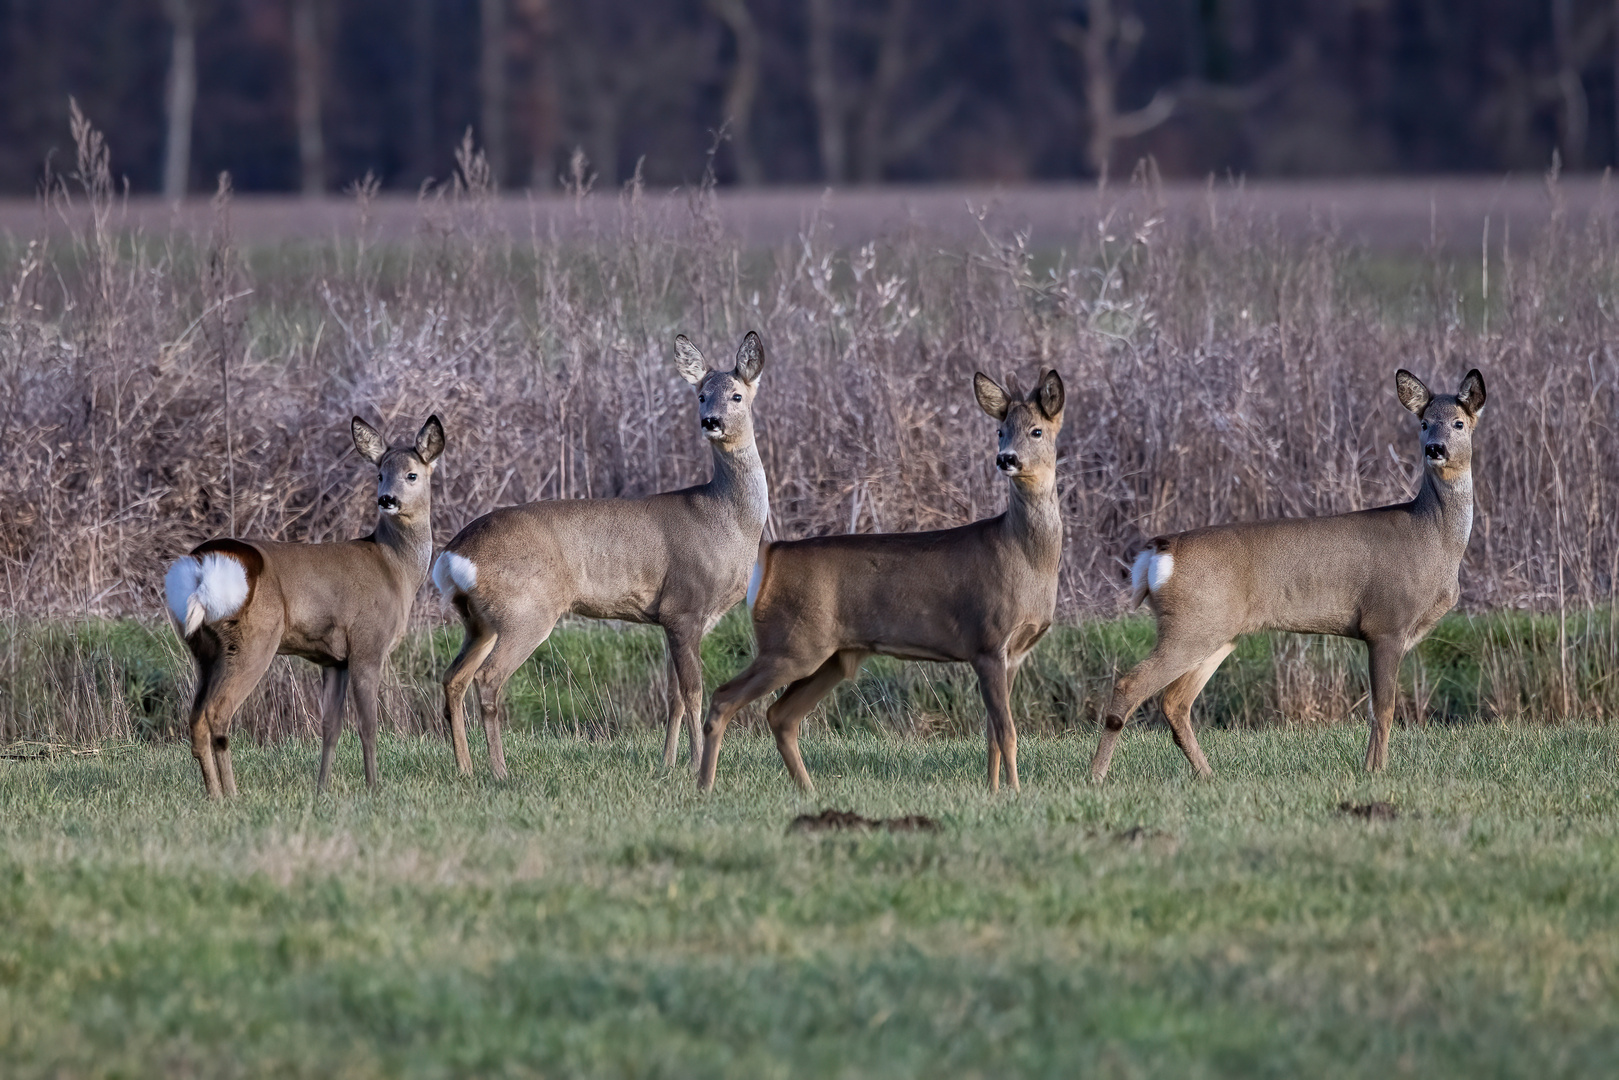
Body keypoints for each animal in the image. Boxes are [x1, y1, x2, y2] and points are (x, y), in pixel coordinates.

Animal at [161, 411, 446, 793]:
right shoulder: (367, 642)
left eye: (411, 474)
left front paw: (321, 788)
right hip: (254, 640)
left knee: (195, 719)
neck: (394, 567)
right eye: (380, 474)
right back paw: (231, 795)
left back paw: (214, 795)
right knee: (217, 714)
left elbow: (330, 727)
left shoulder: (334, 659)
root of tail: (201, 567)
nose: (387, 499)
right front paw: (374, 787)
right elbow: (368, 726)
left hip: (202, 648)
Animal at [433, 330, 767, 777]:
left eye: (736, 395)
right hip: (525, 610)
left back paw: (466, 768)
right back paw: (500, 771)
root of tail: (452, 556)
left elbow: (674, 695)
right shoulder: (685, 607)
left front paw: (666, 764)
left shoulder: (675, 619)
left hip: (479, 621)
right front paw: (698, 764)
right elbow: (694, 691)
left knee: (454, 677)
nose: (710, 421)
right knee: (488, 679)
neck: (727, 520)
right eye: (701, 395)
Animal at [692, 369, 1062, 793]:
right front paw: (1014, 793)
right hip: (790, 644)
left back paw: (808, 790)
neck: (1025, 555)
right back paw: (704, 787)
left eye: (1036, 431)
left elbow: (992, 734)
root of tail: (769, 556)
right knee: (724, 698)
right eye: (1000, 431)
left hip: (830, 656)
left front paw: (993, 790)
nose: (1006, 458)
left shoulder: (1012, 653)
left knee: (781, 715)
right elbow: (1007, 732)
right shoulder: (987, 641)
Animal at [1087, 367, 1489, 780]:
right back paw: (1096, 776)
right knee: (1130, 685)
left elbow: (1380, 710)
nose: (1435, 448)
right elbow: (1383, 710)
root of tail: (1159, 552)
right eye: (1424, 423)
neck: (1432, 538)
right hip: (1190, 625)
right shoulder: (1385, 623)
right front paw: (1375, 773)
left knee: (1174, 701)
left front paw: (1370, 769)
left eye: (1458, 423)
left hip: (1216, 630)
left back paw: (1209, 775)